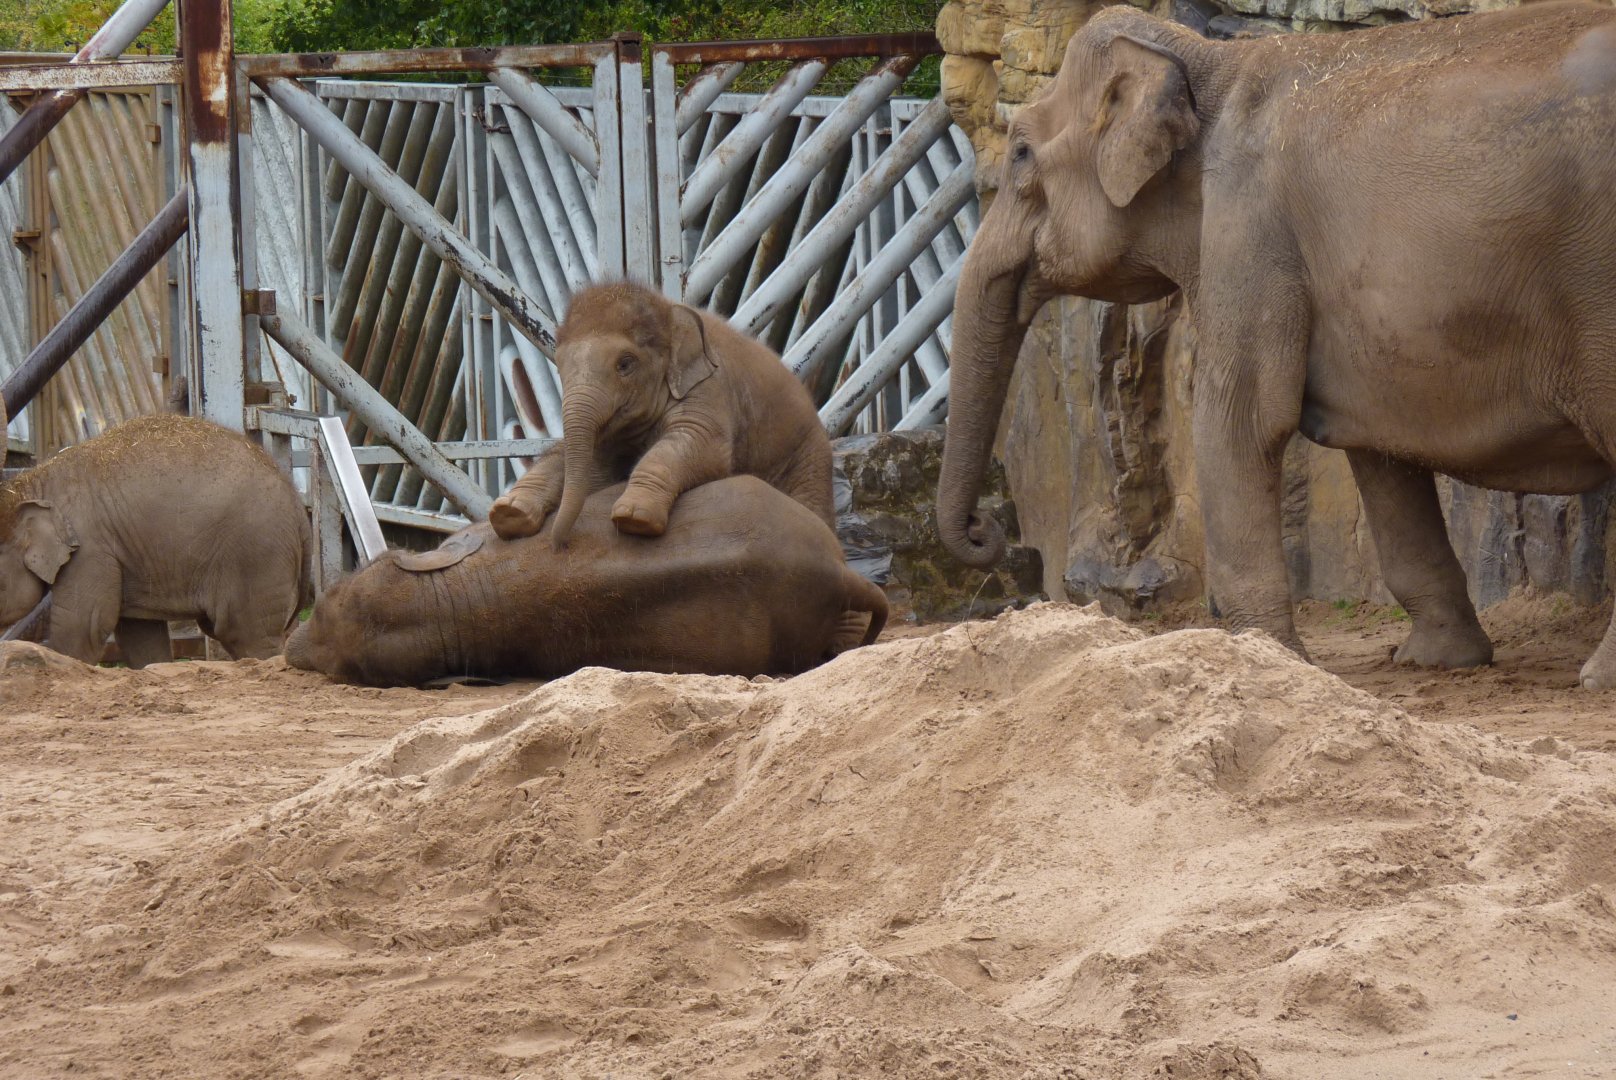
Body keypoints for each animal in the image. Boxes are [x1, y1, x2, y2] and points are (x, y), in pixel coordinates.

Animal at [0, 412, 311, 666]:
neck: (33, 483)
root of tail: (299, 508)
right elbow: (138, 634)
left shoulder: (90, 549)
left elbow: (83, 626)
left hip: (256, 557)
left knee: (247, 633)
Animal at [487, 281, 835, 548]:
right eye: (560, 367)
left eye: (625, 364)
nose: (559, 545)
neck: (667, 309)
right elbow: (582, 462)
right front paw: (509, 515)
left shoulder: (709, 389)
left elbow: (698, 444)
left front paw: (633, 518)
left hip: (809, 461)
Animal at [936, 0, 1616, 688]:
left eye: (1021, 152)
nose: (986, 529)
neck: (1209, 61)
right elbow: (1379, 448)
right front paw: (1436, 660)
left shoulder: (1249, 224)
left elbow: (1241, 420)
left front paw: (1270, 657)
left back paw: (1596, 678)